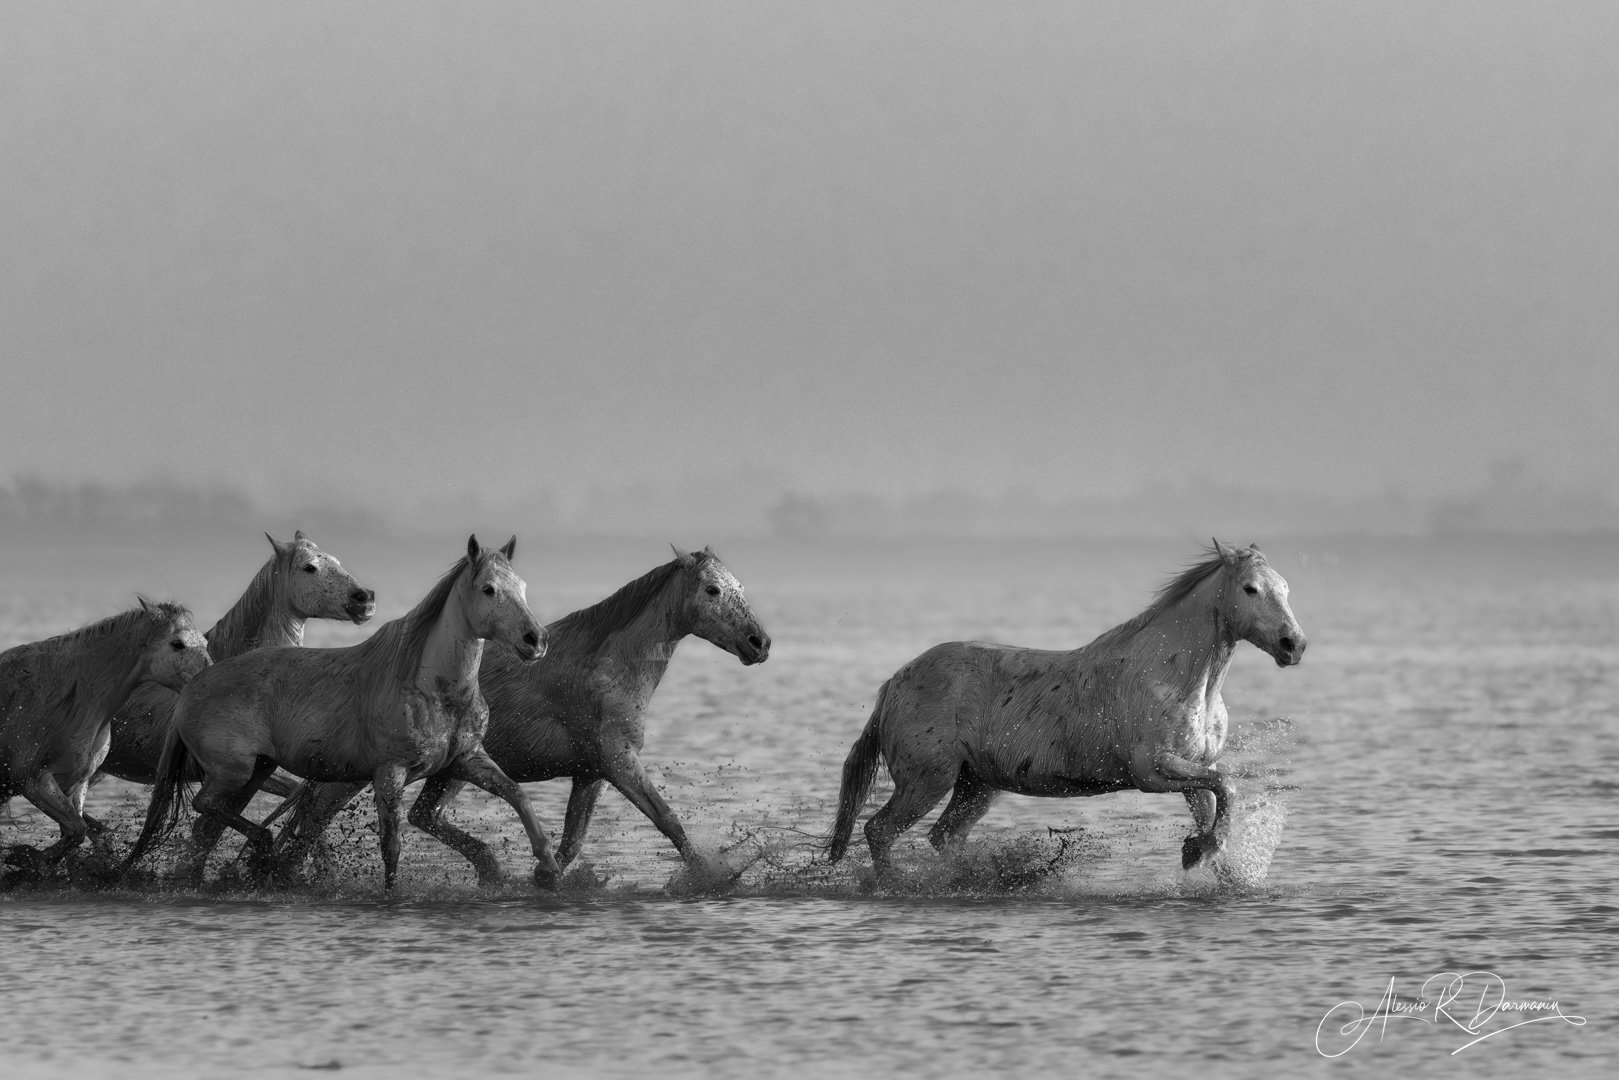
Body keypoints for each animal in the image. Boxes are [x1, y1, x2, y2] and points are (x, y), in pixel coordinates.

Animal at [1, 600, 211, 872]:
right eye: (177, 643)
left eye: (204, 643)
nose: (210, 681)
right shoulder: (33, 780)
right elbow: (77, 830)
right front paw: (25, 857)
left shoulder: (75, 783)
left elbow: (74, 833)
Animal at [121, 535, 558, 891]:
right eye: (488, 589)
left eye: (521, 586)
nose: (535, 640)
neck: (430, 687)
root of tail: (191, 687)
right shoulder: (390, 773)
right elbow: (391, 844)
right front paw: (391, 895)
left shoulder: (467, 759)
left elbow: (518, 795)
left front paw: (549, 868)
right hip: (234, 771)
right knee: (203, 808)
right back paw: (261, 850)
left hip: (255, 770)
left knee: (206, 823)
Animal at [272, 545, 770, 886]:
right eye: (712, 589)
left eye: (740, 589)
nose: (759, 643)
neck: (608, 667)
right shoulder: (617, 761)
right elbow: (667, 819)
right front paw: (715, 874)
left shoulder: (590, 772)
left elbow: (572, 841)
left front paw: (546, 875)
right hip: (356, 778)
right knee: (311, 826)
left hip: (446, 772)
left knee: (420, 816)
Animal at [827, 540, 1306, 879]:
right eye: (1250, 589)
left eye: (1286, 589)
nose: (1294, 645)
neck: (1182, 682)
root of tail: (894, 684)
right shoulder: (1152, 771)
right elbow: (1228, 787)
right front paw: (1195, 852)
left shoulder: (1193, 769)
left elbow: (1219, 804)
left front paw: (1210, 860)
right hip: (928, 780)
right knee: (879, 831)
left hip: (976, 785)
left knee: (943, 838)